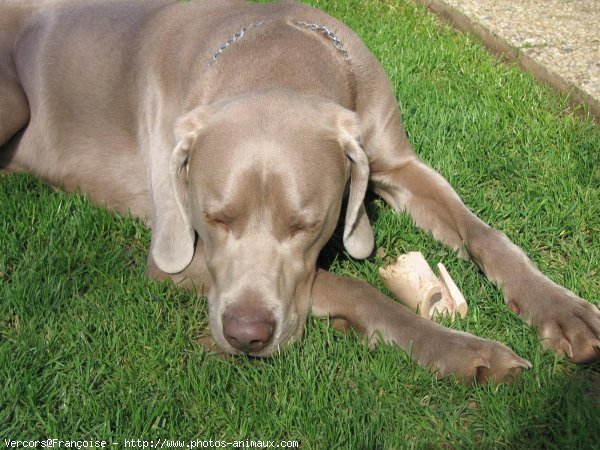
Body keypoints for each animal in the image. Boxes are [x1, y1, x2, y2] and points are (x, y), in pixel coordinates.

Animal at [0, 0, 596, 384]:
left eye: (306, 225)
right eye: (214, 218)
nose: (246, 336)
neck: (275, 53)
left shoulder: (401, 164)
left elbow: (484, 233)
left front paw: (562, 310)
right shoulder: (175, 260)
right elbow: (352, 286)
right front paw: (460, 351)